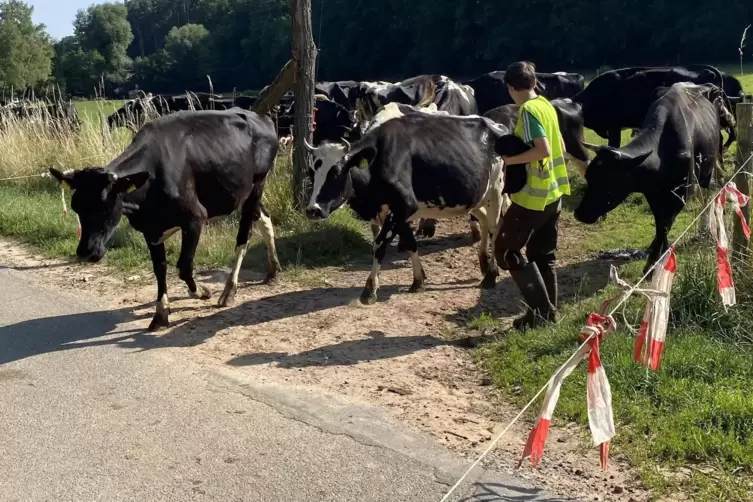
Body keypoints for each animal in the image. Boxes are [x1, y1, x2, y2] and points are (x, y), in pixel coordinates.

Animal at [48, 108, 280, 332]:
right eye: (75, 207)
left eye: (105, 207)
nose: (85, 253)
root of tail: (261, 118)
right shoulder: (151, 229)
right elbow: (160, 269)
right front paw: (160, 315)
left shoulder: (195, 218)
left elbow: (184, 267)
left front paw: (202, 292)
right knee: (263, 218)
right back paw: (272, 270)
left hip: (257, 185)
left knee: (244, 235)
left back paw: (229, 291)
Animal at [302, 113, 524, 302]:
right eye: (312, 172)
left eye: (336, 172)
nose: (312, 210)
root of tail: (498, 126)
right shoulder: (397, 212)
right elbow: (409, 243)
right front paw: (418, 280)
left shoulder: (404, 205)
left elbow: (379, 244)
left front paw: (370, 289)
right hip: (477, 197)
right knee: (487, 223)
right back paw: (485, 264)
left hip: (496, 190)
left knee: (495, 228)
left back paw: (491, 275)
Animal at [572, 84, 724, 276]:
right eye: (588, 177)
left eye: (608, 182)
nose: (579, 214)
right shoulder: (653, 194)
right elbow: (660, 223)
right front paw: (659, 254)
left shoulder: (681, 193)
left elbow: (665, 225)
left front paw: (653, 263)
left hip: (707, 170)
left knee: (707, 196)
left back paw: (705, 228)